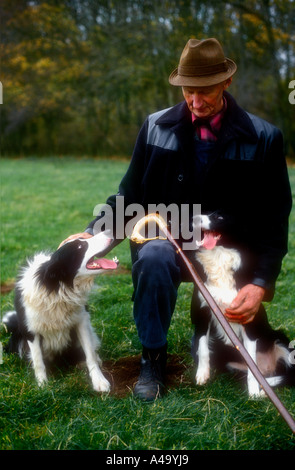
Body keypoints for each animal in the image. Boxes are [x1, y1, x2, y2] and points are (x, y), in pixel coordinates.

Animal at [2, 233, 118, 392]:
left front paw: (99, 381)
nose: (109, 233)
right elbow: (38, 361)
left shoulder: (81, 320)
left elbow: (90, 355)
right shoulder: (30, 329)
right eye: (80, 246)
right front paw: (43, 386)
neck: (58, 288)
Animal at [191, 212, 294, 396]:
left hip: (280, 338)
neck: (218, 255)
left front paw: (253, 393)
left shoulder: (247, 319)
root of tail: (268, 369)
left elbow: (252, 363)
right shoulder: (202, 311)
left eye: (219, 217)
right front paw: (202, 375)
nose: (194, 218)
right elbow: (202, 346)